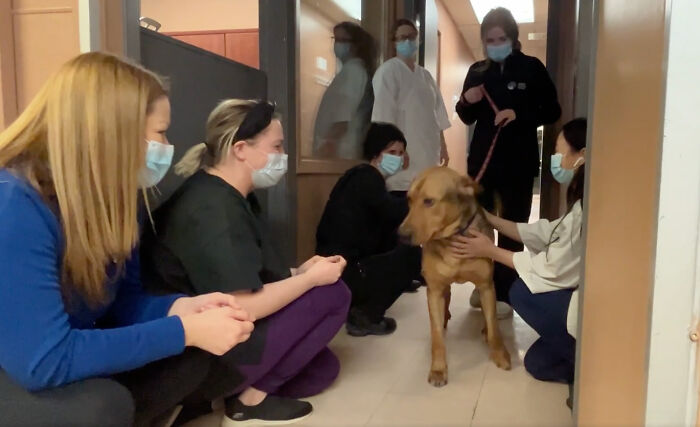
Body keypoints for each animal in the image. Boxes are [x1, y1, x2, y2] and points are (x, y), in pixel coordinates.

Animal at [400, 166, 508, 388]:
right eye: (409, 200)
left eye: (429, 201)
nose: (401, 235)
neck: (452, 238)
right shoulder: (434, 289)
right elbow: (437, 337)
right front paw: (438, 369)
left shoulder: (486, 285)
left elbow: (493, 323)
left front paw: (500, 353)